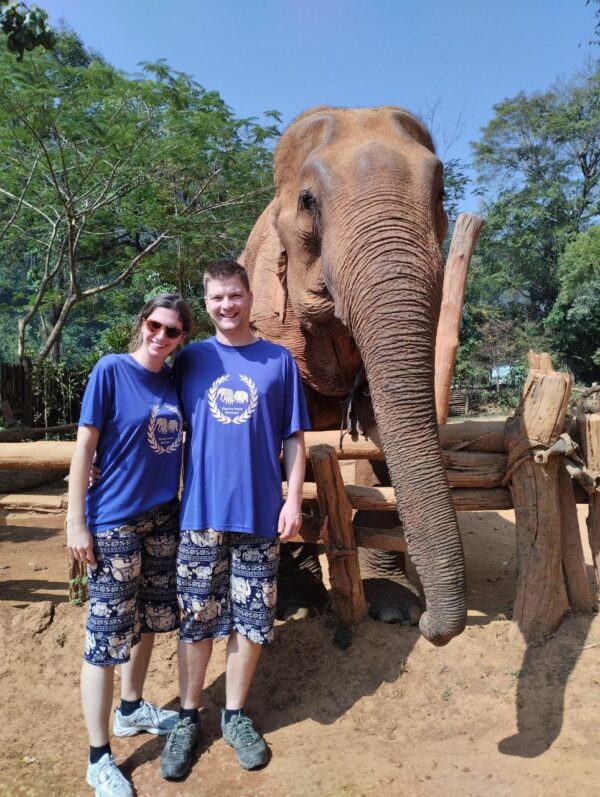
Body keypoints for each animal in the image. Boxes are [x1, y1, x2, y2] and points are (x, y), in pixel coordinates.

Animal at [241, 105, 466, 648]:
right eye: (307, 202)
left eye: (440, 195)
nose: (431, 626)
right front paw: (297, 606)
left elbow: (378, 432)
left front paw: (395, 609)